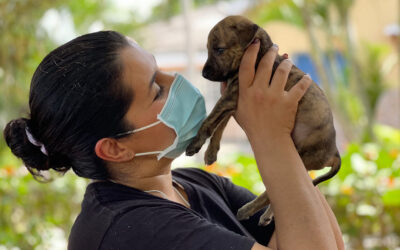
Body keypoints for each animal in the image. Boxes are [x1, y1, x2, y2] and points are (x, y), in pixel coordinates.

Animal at [184, 15, 340, 227]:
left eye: (219, 49)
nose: (204, 74)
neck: (259, 52)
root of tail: (335, 152)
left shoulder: (231, 97)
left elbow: (210, 122)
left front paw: (195, 143)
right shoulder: (233, 102)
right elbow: (220, 126)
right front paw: (210, 152)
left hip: (298, 159)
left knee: (271, 192)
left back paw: (247, 210)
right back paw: (266, 215)